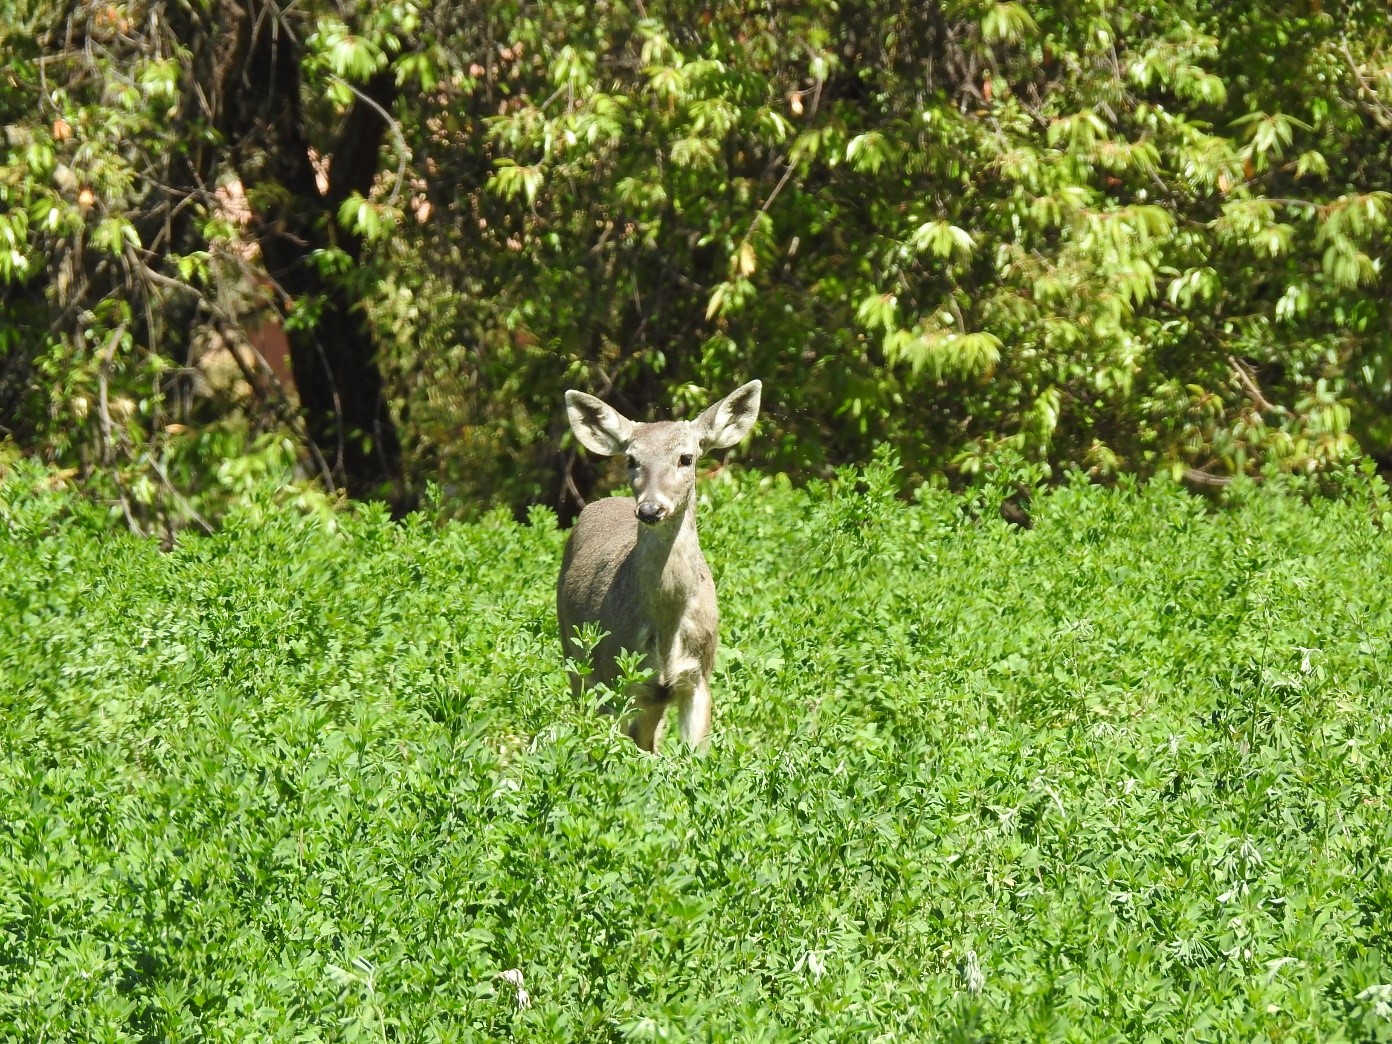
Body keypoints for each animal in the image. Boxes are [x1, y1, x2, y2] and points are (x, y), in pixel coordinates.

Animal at [554, 381, 762, 751]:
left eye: (686, 458)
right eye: (632, 459)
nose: (651, 508)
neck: (666, 629)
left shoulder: (698, 677)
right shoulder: (618, 677)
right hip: (574, 654)